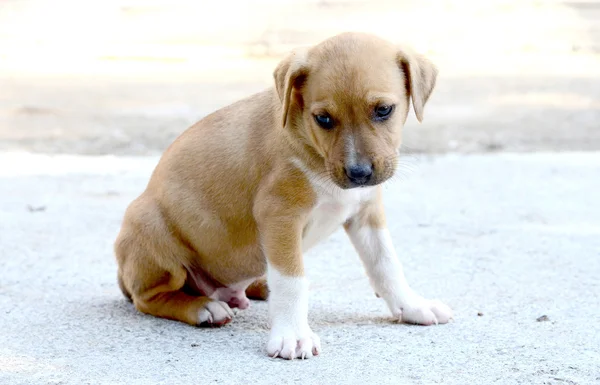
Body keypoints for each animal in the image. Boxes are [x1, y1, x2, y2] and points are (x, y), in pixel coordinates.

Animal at [113, 31, 450, 358]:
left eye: (383, 110)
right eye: (323, 118)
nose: (359, 173)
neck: (314, 153)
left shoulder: (366, 213)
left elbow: (386, 264)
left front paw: (411, 305)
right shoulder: (280, 216)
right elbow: (291, 280)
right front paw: (294, 335)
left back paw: (255, 287)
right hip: (150, 229)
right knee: (149, 298)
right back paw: (203, 308)